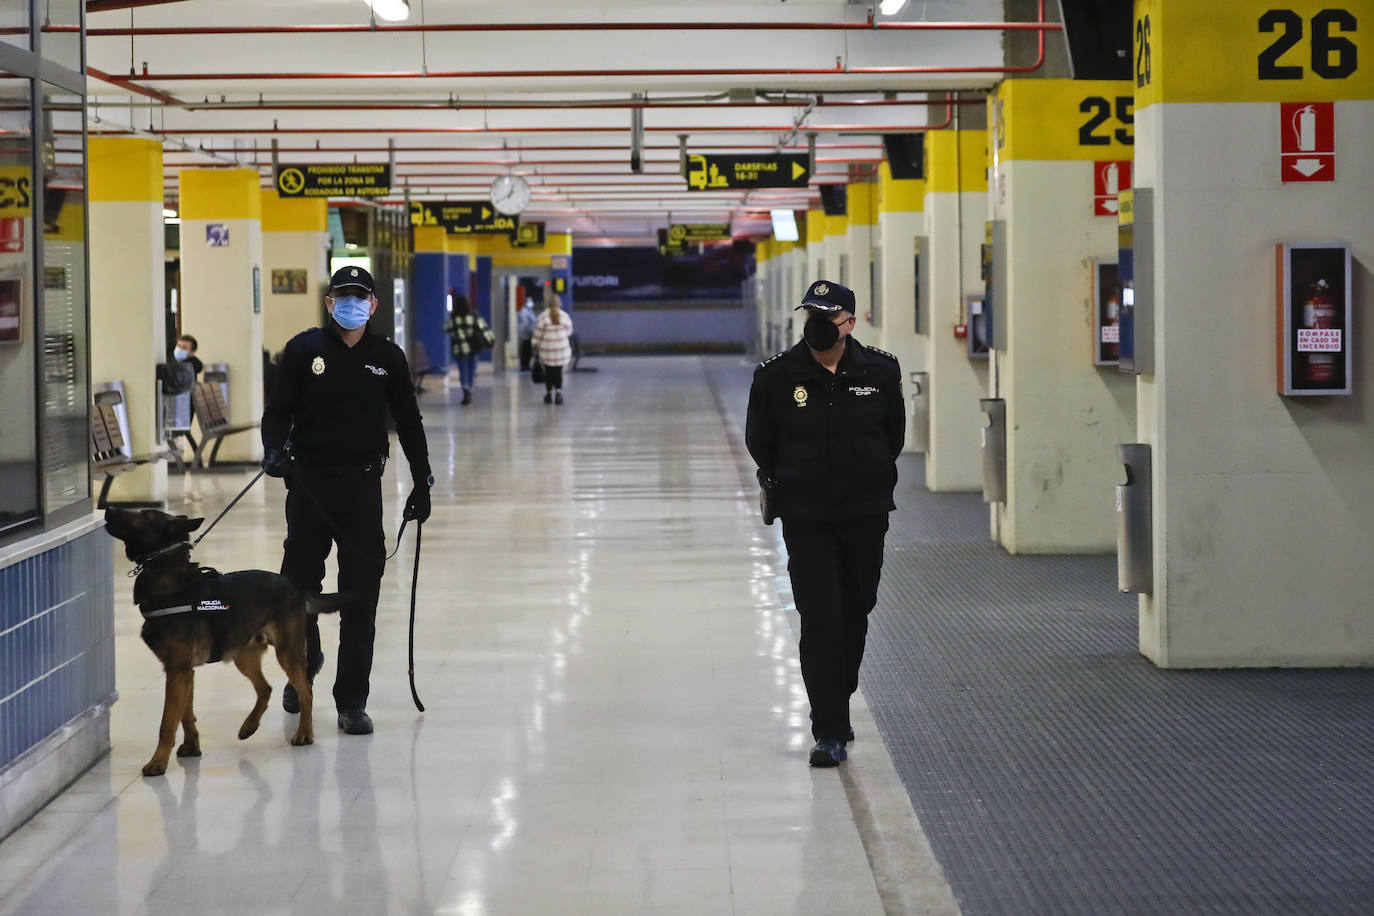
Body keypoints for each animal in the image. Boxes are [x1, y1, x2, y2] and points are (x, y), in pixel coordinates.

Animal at [104, 505, 346, 780]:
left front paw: (158, 762)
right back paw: (249, 726)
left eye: (145, 515)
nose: (109, 508)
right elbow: (185, 714)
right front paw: (192, 746)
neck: (168, 576)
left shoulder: (178, 671)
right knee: (265, 689)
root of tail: (296, 590)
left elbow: (167, 723)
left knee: (306, 691)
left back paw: (304, 732)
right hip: (243, 656)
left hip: (287, 654)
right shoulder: (182, 672)